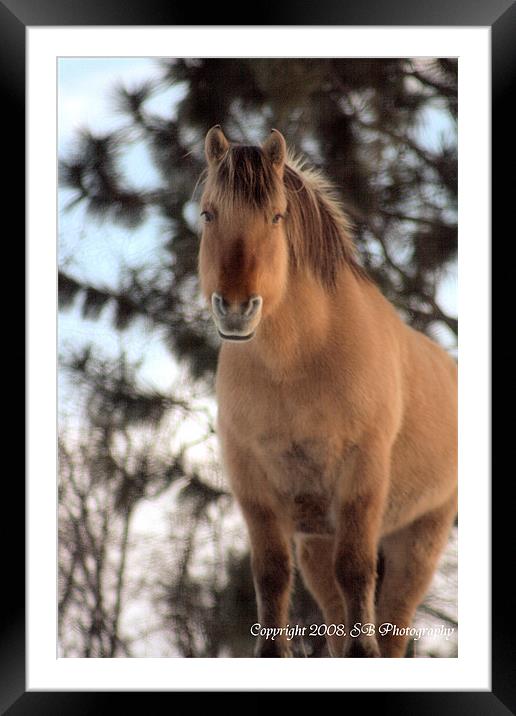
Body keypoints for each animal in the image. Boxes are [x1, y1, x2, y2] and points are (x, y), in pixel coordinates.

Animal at [199, 126, 460, 656]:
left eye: (276, 216)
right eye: (208, 213)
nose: (235, 309)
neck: (296, 366)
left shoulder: (361, 479)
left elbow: (356, 572)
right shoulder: (253, 486)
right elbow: (271, 576)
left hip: (419, 541)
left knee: (394, 623)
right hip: (317, 539)